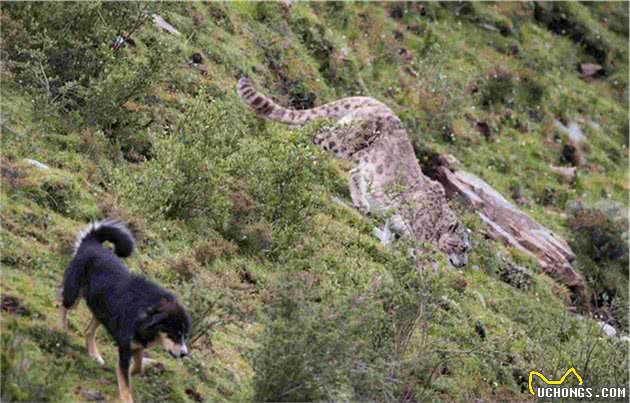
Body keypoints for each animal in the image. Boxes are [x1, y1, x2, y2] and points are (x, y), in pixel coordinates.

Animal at [60, 221, 191, 403]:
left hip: (102, 310)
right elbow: (125, 380)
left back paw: (94, 354)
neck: (147, 312)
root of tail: (91, 243)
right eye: (176, 334)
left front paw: (132, 370)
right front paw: (126, 395)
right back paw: (62, 329)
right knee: (62, 303)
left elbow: (137, 367)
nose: (185, 354)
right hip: (74, 296)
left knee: (88, 331)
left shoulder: (136, 345)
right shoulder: (125, 347)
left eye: (185, 335)